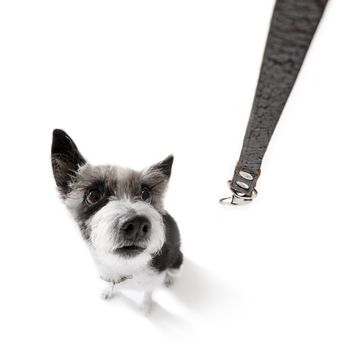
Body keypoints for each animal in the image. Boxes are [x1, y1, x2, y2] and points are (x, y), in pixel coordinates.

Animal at [52, 129, 183, 314]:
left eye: (146, 194)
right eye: (93, 195)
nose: (137, 225)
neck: (124, 265)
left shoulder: (154, 278)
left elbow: (148, 291)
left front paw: (146, 305)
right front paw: (108, 291)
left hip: (177, 262)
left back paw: (169, 279)